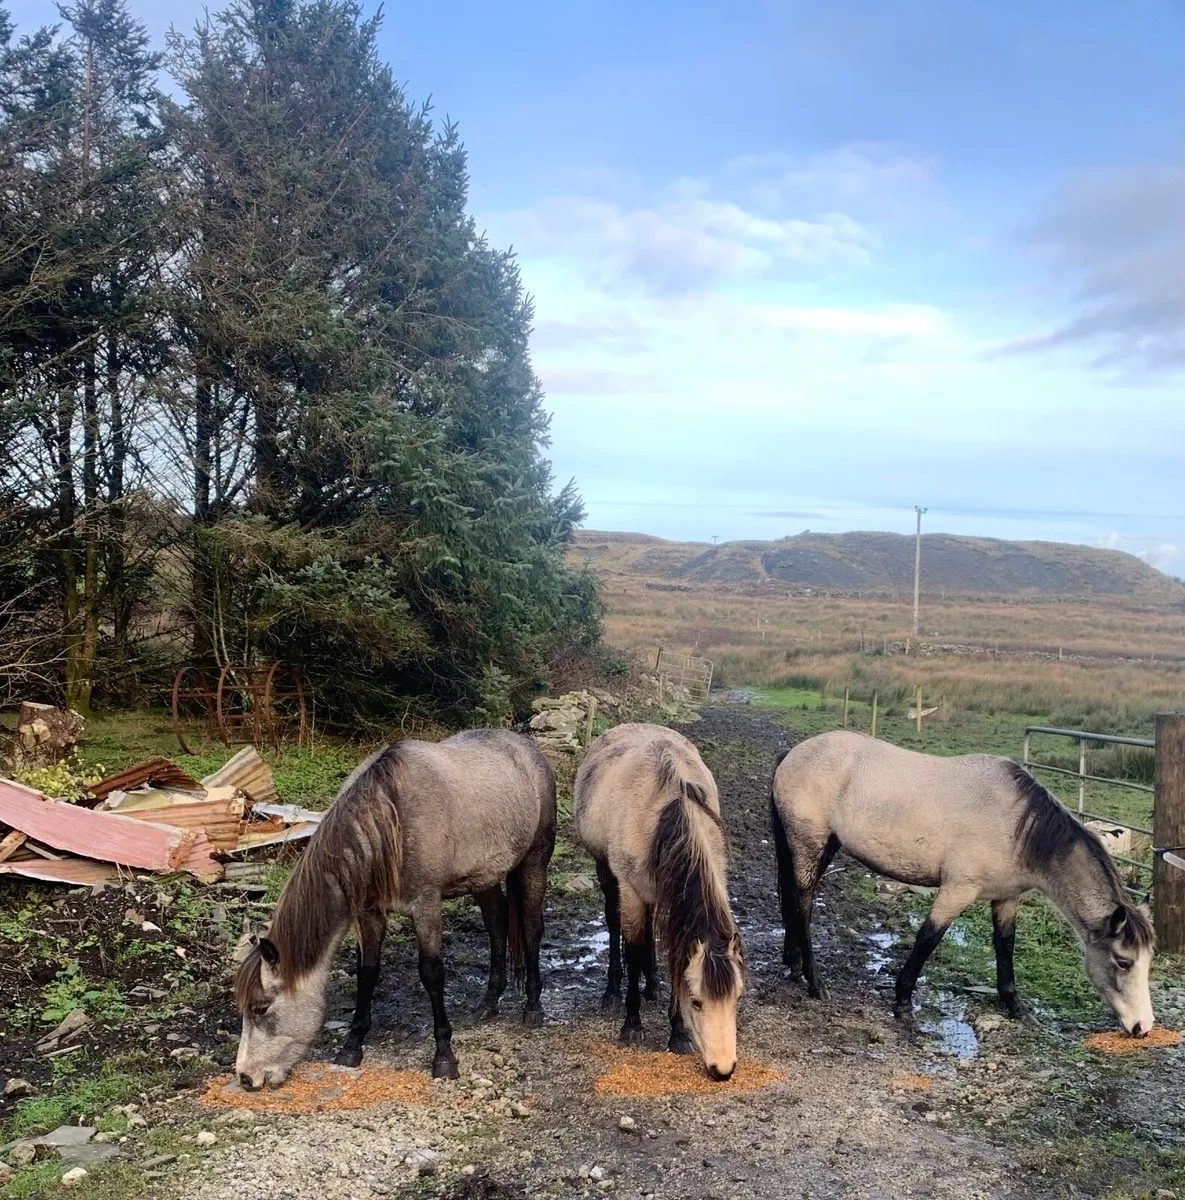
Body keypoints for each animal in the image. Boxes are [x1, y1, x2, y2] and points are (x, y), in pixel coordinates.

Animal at [234, 729, 556, 1087]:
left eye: (261, 1008)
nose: (245, 1078)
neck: (387, 819)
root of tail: (528, 748)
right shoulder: (369, 912)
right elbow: (367, 973)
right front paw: (352, 1046)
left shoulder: (426, 905)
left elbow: (432, 973)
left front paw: (444, 1057)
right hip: (484, 878)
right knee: (497, 925)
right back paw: (488, 1003)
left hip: (534, 863)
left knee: (531, 928)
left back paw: (533, 1006)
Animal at [574, 723, 746, 1080]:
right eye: (696, 1001)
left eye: (737, 998)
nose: (723, 1070)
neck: (668, 809)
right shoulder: (630, 890)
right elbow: (633, 949)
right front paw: (632, 1024)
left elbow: (673, 954)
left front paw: (677, 1033)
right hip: (608, 872)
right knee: (614, 924)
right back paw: (613, 990)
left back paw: (652, 985)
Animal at [769, 730, 1155, 1035]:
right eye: (1123, 962)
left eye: (1148, 961)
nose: (1142, 1027)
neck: (1018, 827)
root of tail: (794, 753)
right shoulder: (958, 890)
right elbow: (928, 939)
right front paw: (903, 1004)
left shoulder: (1006, 898)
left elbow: (1005, 947)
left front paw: (1017, 1009)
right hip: (810, 844)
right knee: (803, 904)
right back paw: (815, 982)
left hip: (820, 846)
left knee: (792, 898)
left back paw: (794, 964)